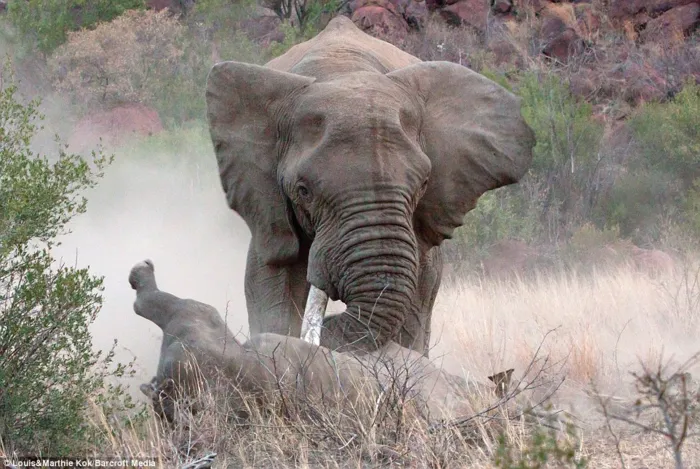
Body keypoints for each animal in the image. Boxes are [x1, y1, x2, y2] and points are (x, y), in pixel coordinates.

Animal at [205, 15, 535, 357]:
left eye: (424, 184)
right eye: (303, 191)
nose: (331, 324)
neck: (344, 71)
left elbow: (418, 296)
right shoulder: (269, 207)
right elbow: (273, 280)